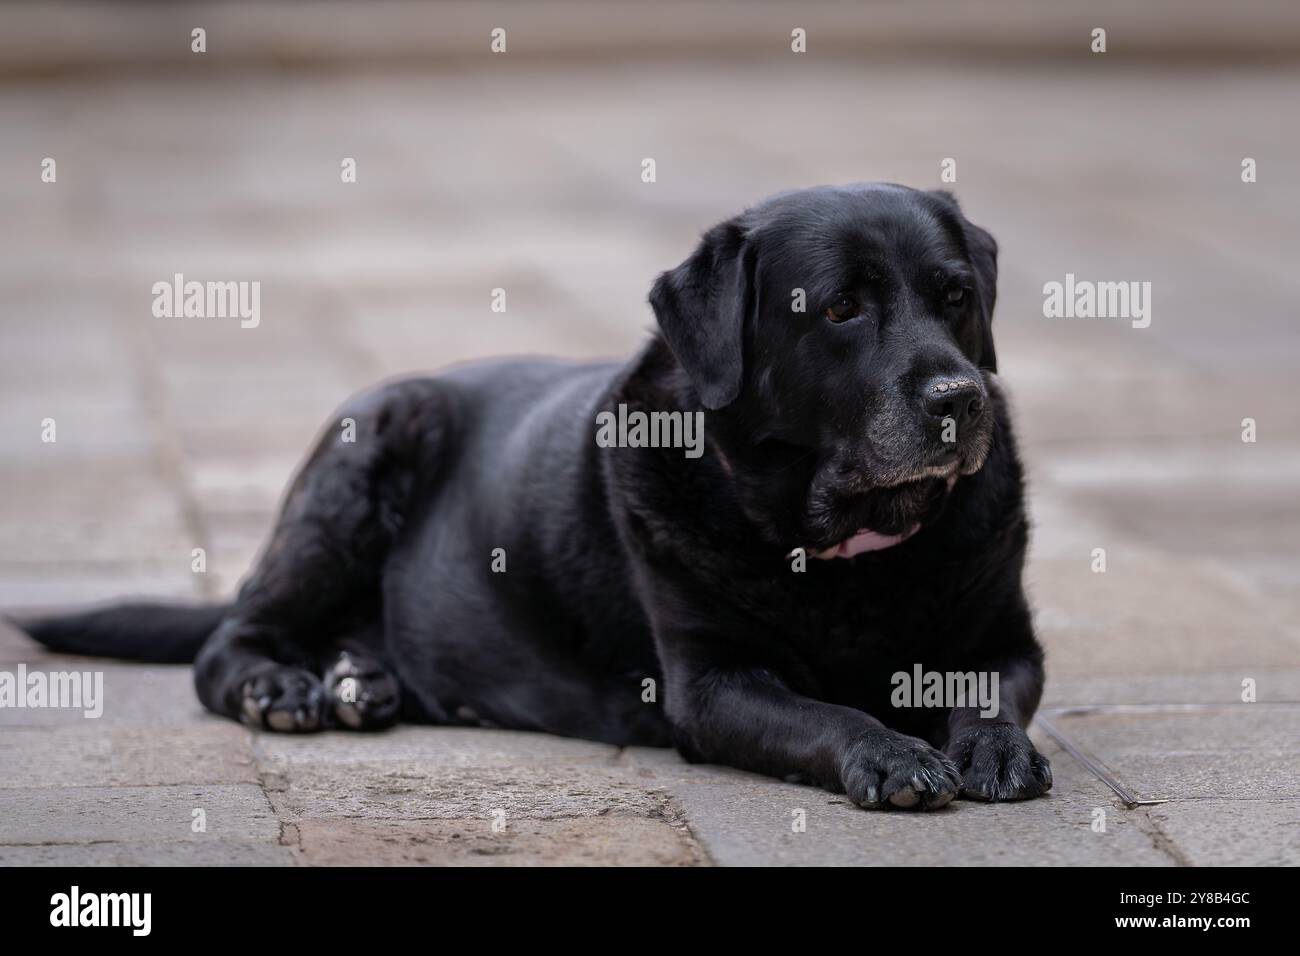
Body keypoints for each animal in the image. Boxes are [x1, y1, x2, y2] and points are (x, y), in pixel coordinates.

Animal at [22, 184, 1055, 806]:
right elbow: (825, 714)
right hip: (362, 457)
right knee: (228, 641)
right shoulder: (712, 684)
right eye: (841, 308)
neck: (846, 544)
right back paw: (283, 686)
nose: (960, 398)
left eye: (955, 297)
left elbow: (992, 689)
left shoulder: (1007, 637)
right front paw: (890, 750)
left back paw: (360, 681)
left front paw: (992, 747)